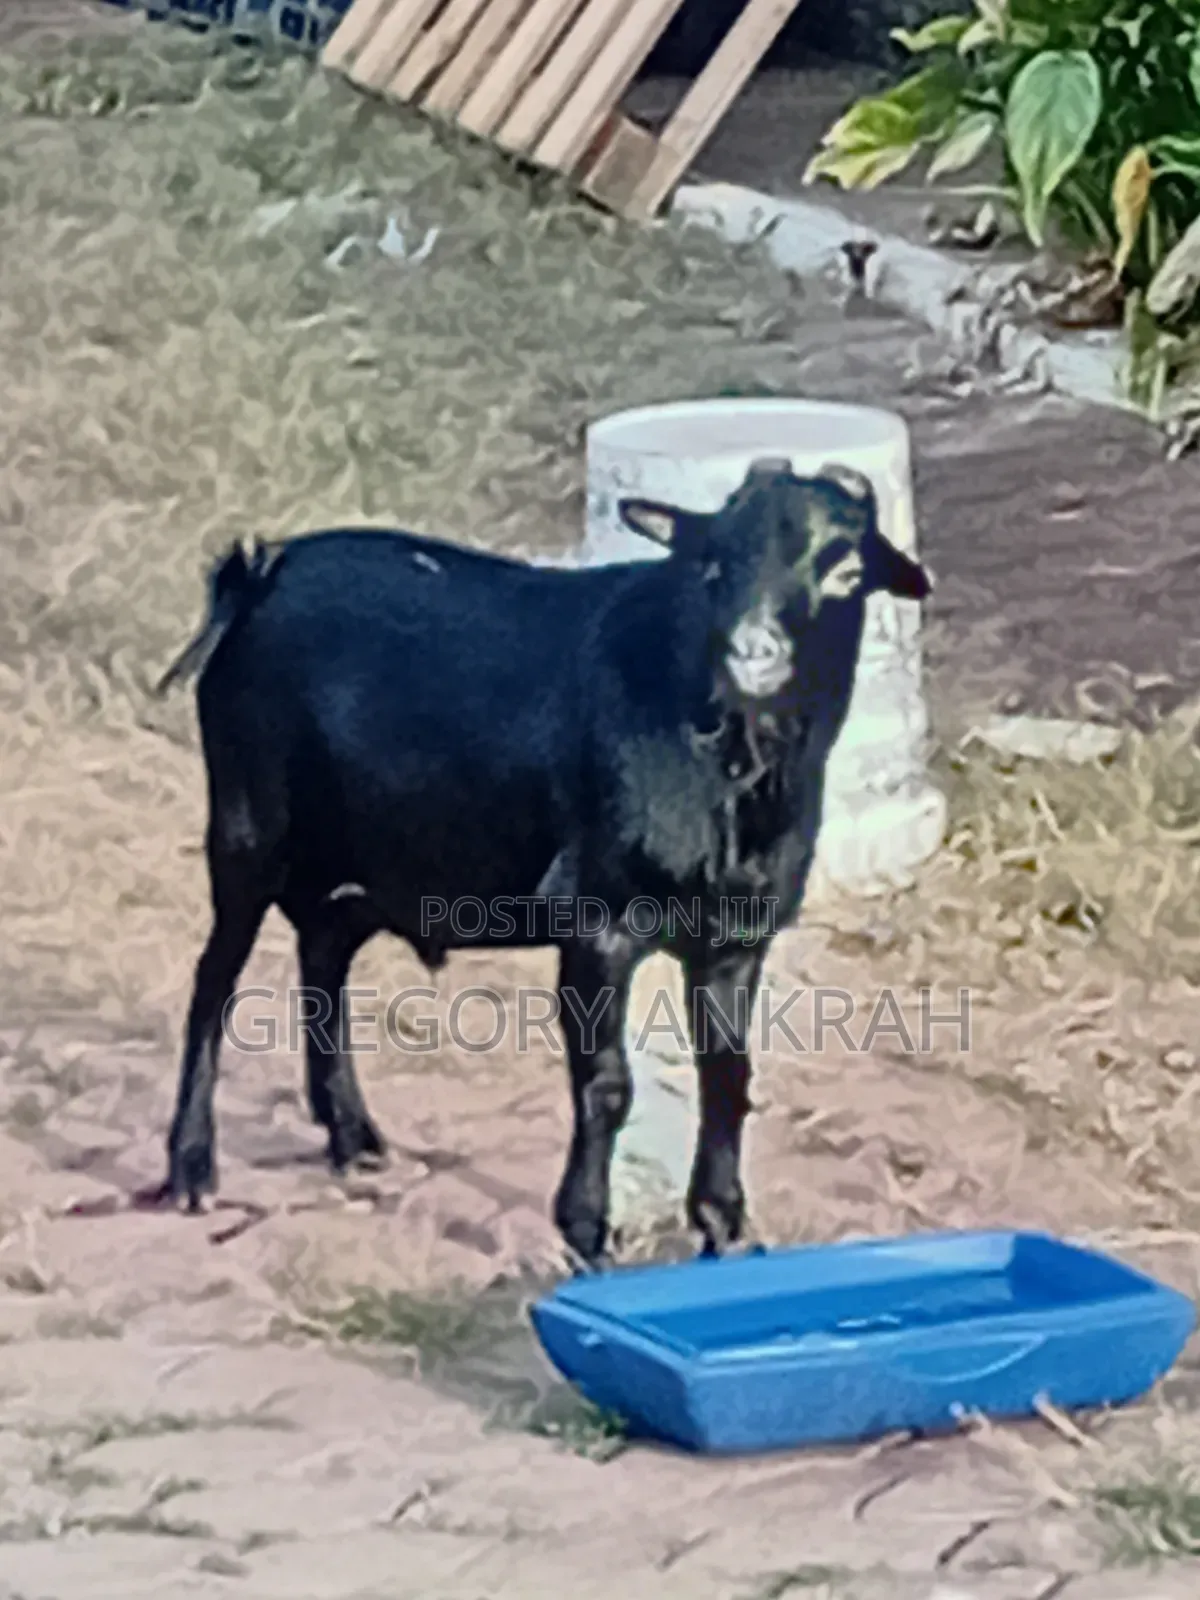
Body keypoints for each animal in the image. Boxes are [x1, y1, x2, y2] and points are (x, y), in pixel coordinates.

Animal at [155, 460, 931, 1267]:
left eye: (846, 571)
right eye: (713, 565)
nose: (753, 652)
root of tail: (262, 569)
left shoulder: (736, 939)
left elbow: (728, 1074)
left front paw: (724, 1223)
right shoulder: (598, 921)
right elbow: (607, 1085)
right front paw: (587, 1230)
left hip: (361, 855)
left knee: (323, 955)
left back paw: (353, 1137)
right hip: (247, 828)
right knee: (214, 983)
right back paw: (191, 1167)